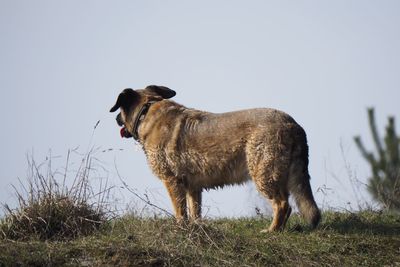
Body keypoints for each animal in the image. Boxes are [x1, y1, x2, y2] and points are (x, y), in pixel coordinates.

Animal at [111, 86, 320, 232]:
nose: (115, 120)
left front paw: (180, 229)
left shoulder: (172, 181)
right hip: (276, 174)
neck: (147, 110)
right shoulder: (193, 187)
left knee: (283, 205)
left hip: (264, 174)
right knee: (287, 206)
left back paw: (271, 231)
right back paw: (280, 230)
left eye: (119, 111)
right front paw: (196, 229)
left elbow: (180, 212)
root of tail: (293, 124)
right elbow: (195, 212)